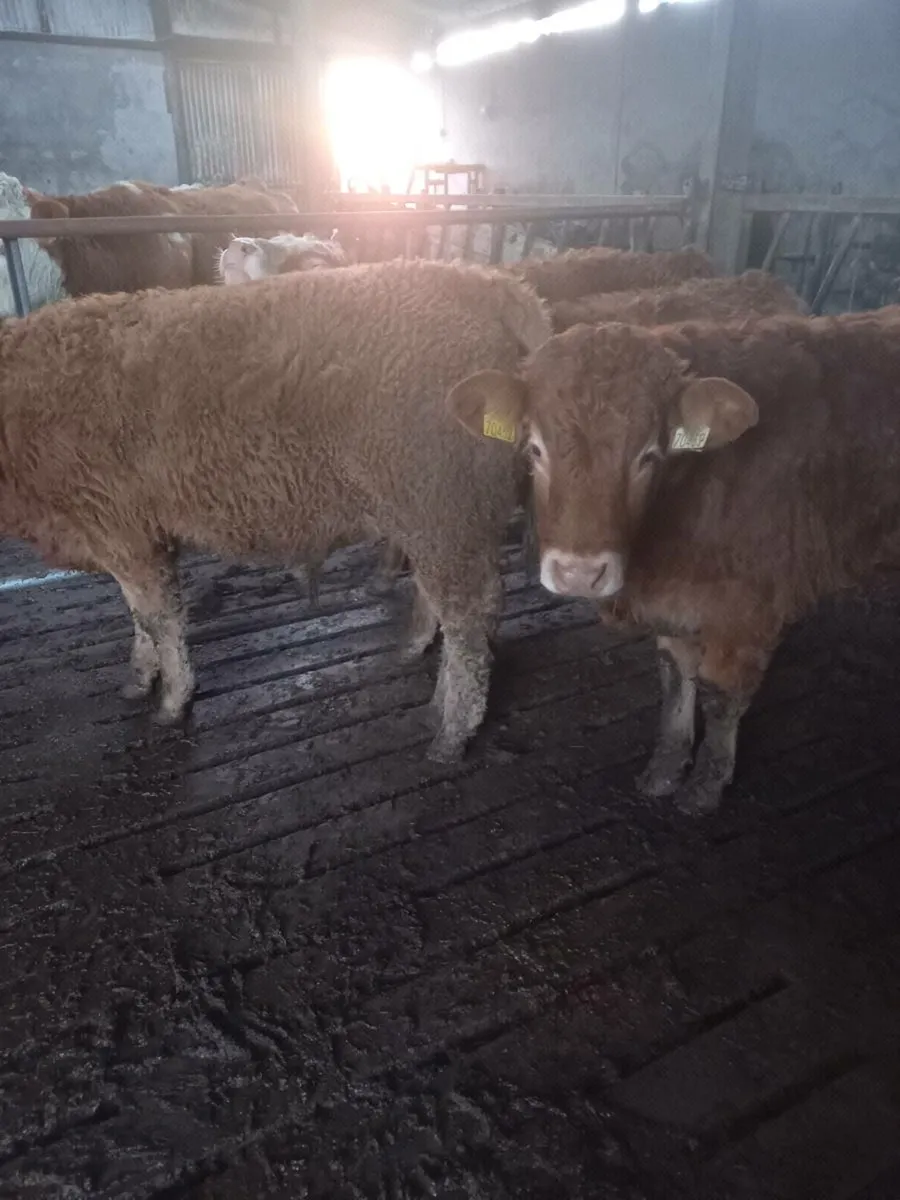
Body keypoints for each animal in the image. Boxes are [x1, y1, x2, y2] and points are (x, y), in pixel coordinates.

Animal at [0, 259, 552, 762]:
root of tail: (486, 281)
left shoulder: (121, 531)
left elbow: (159, 620)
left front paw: (173, 700)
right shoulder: (135, 536)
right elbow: (141, 620)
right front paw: (141, 678)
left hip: (442, 507)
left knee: (468, 617)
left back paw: (452, 731)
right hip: (439, 514)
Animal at [446, 309, 900, 810]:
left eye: (649, 455)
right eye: (535, 448)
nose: (579, 573)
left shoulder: (748, 611)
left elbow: (720, 695)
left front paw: (706, 784)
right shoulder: (672, 604)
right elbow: (675, 678)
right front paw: (666, 768)